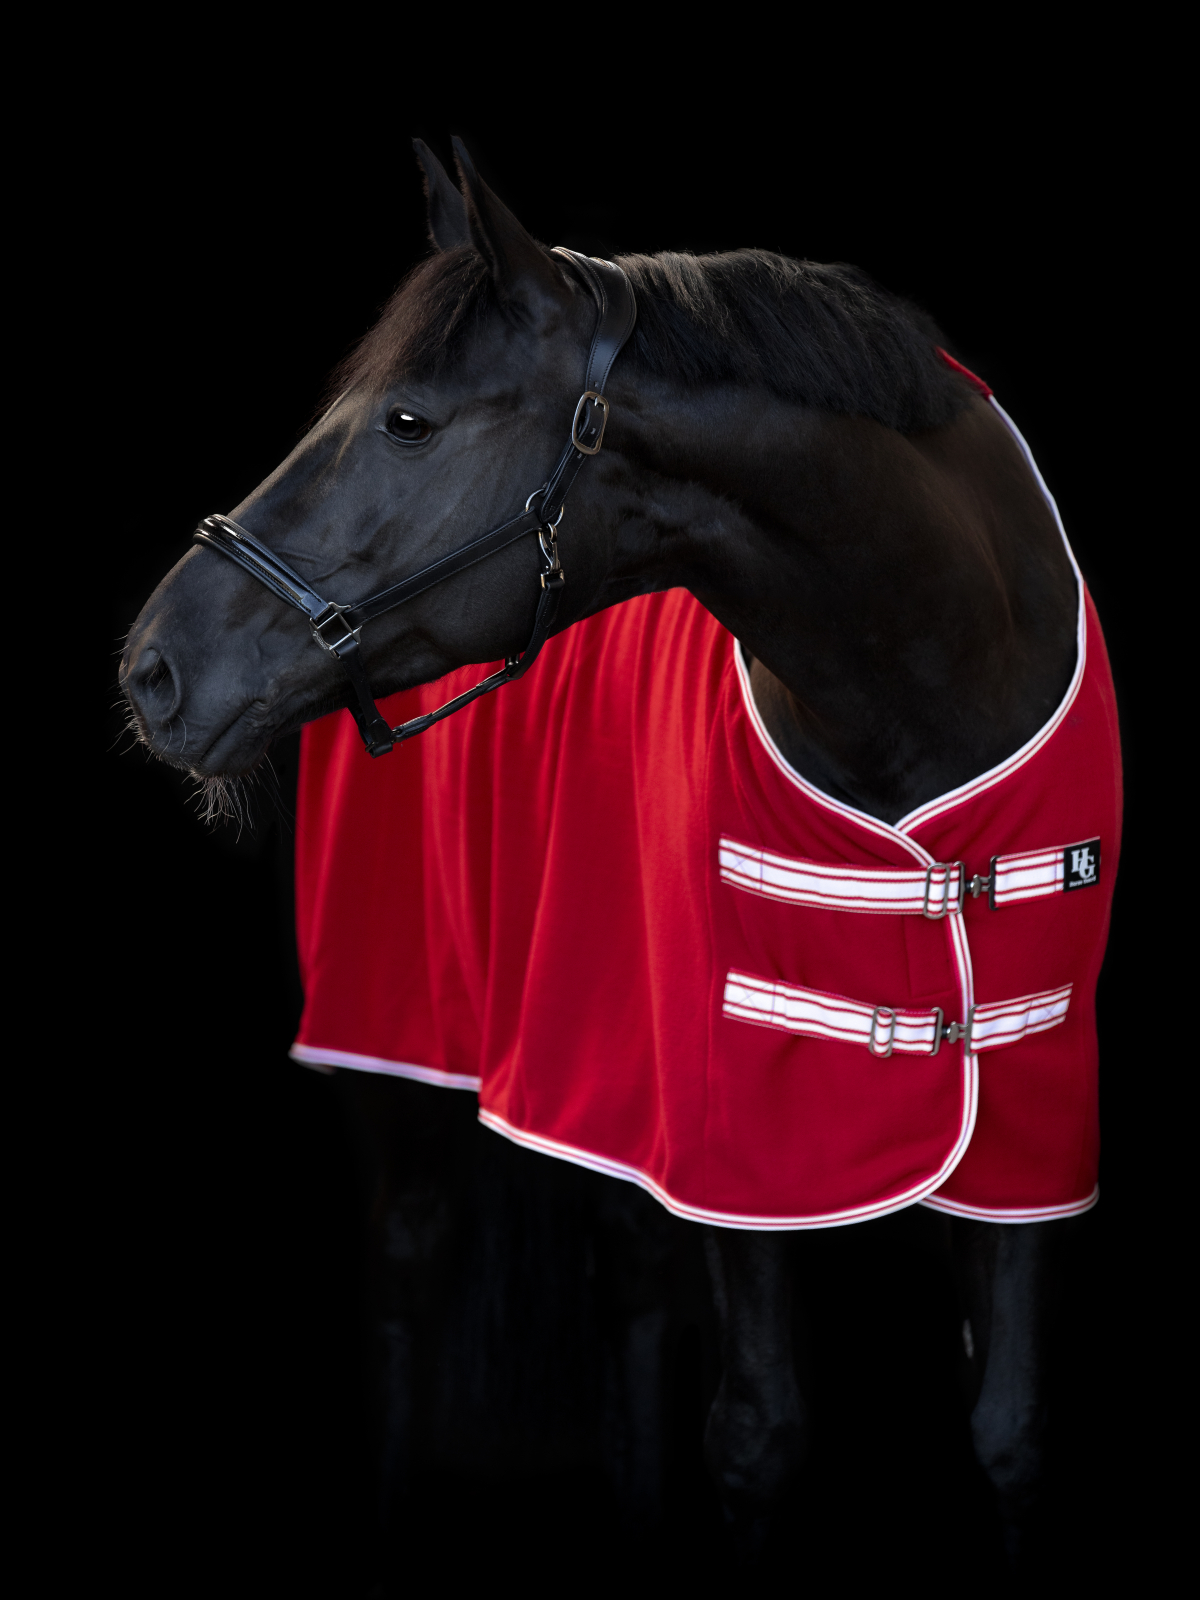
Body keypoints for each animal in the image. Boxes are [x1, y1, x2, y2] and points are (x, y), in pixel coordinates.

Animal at [120, 136, 1119, 1570]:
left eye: (408, 419)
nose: (154, 666)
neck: (938, 665)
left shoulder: (1030, 1094)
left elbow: (1012, 1428)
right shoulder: (732, 1120)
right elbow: (758, 1433)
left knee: (631, 1285)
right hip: (401, 1045)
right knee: (408, 1273)